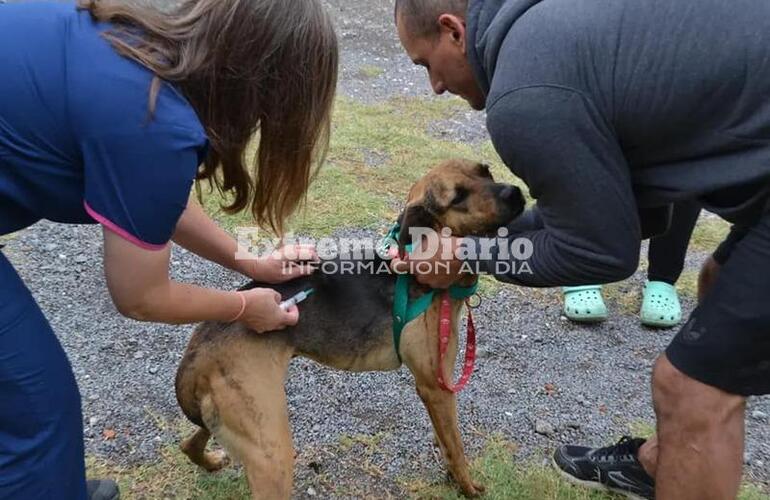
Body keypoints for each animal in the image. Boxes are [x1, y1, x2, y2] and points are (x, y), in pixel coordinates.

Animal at [176, 158, 520, 498]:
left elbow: (446, 440)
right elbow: (457, 448)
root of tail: (198, 351)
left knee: (188, 444)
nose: (516, 193)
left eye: (486, 171)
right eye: (458, 197)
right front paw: (468, 487)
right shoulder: (436, 388)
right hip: (271, 453)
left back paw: (210, 461)